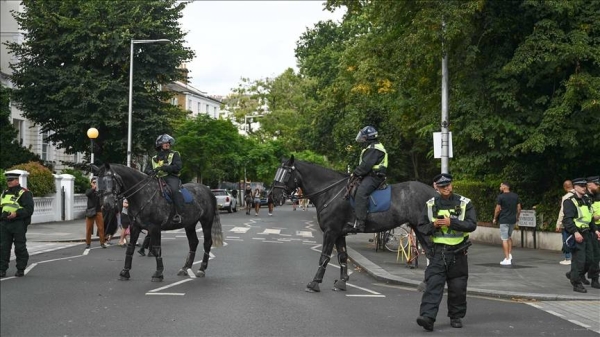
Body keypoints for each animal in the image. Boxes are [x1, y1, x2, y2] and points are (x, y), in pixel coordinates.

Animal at [272, 156, 436, 290]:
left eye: (286, 173)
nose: (274, 196)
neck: (330, 192)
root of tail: (434, 192)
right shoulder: (339, 234)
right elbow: (342, 256)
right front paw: (342, 281)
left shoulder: (330, 232)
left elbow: (324, 256)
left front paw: (315, 283)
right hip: (418, 229)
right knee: (429, 253)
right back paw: (425, 284)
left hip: (423, 230)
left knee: (432, 253)